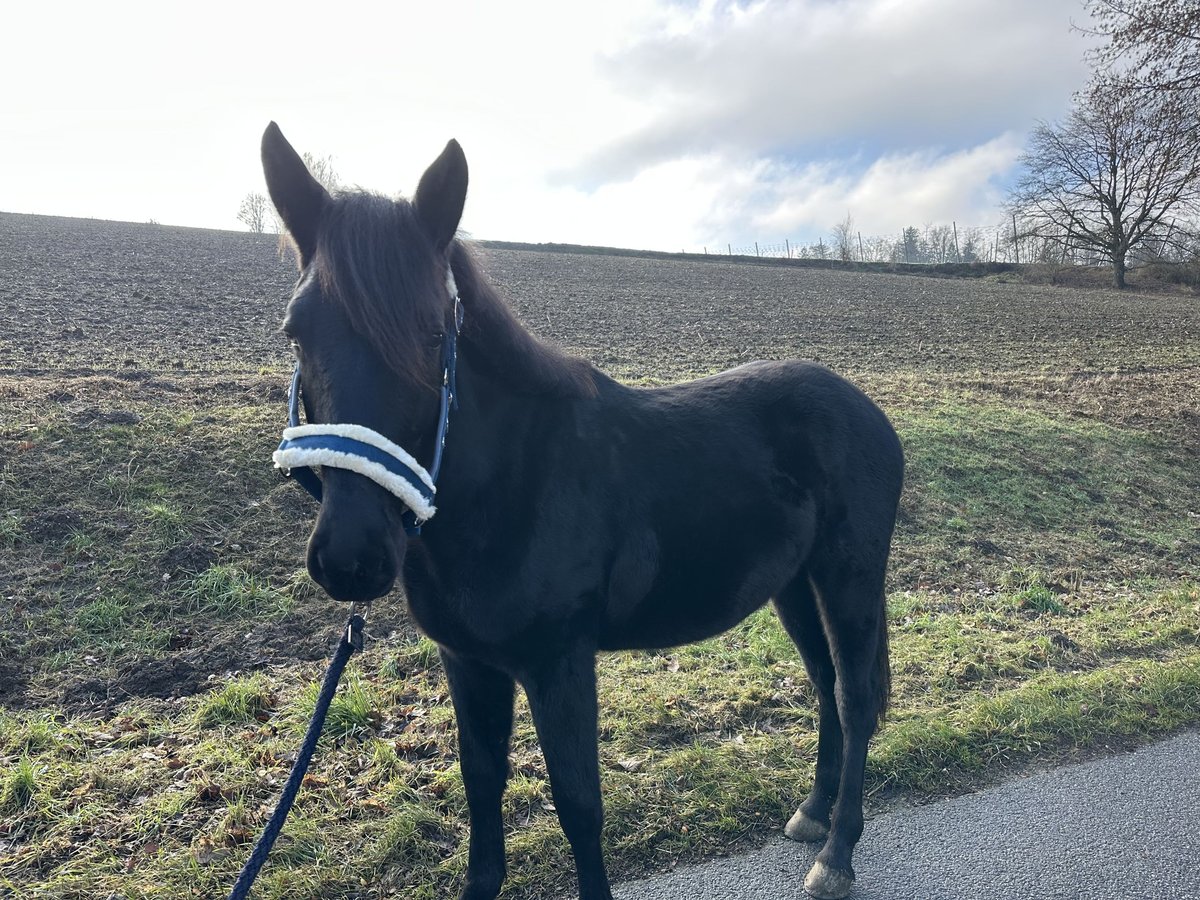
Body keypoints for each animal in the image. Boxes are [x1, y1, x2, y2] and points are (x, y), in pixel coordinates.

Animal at [260, 121, 902, 900]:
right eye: (296, 331)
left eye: (432, 333)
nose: (352, 556)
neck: (511, 486)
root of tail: (865, 409)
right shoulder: (469, 664)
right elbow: (482, 787)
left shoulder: (559, 664)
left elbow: (578, 804)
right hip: (794, 586)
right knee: (826, 684)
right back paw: (812, 813)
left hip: (849, 579)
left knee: (855, 697)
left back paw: (837, 853)